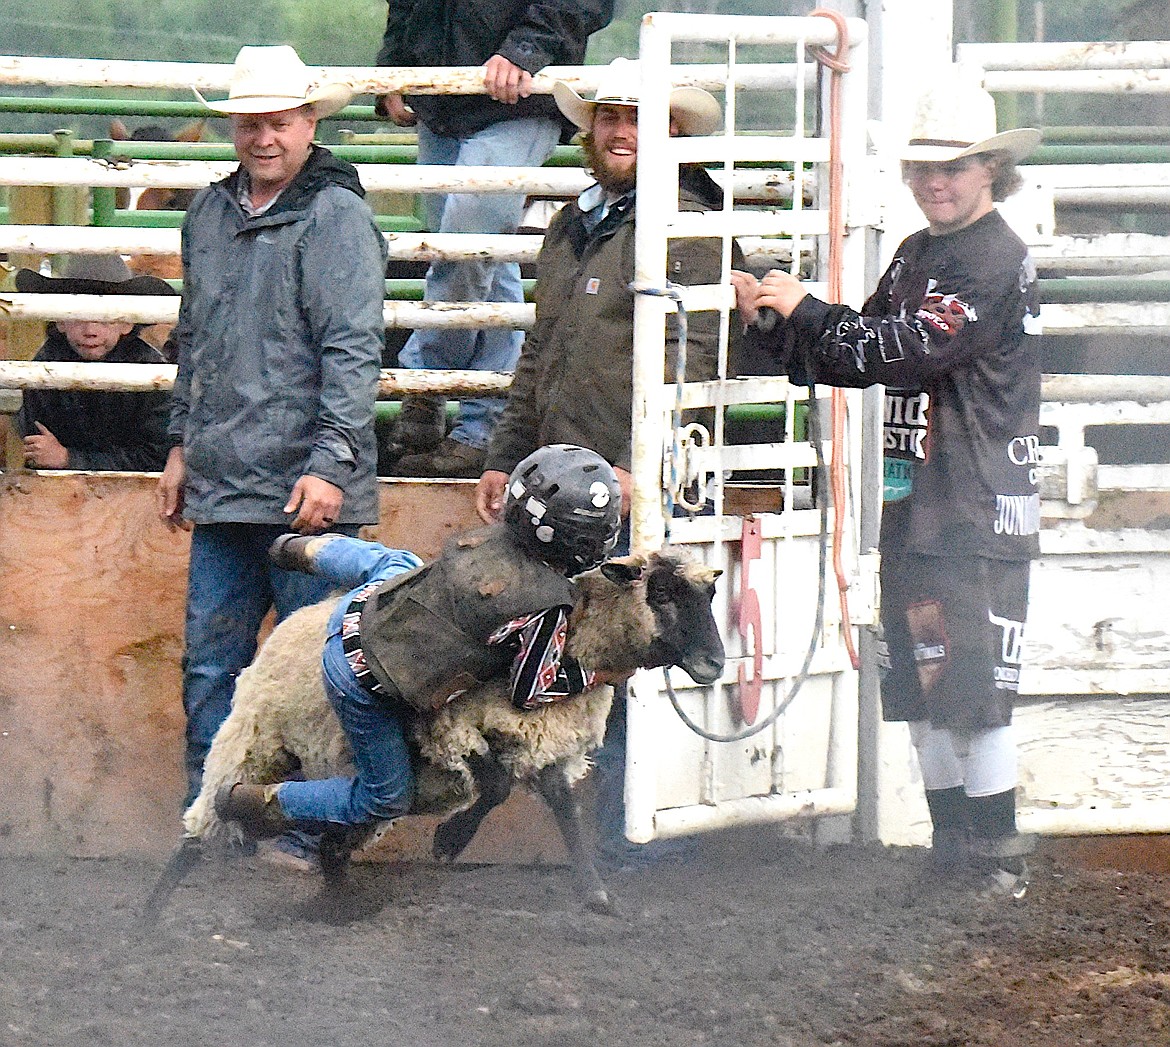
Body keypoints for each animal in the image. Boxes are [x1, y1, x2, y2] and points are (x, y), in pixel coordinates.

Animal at [142, 547, 725, 917]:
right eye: (663, 592)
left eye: (710, 598)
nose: (716, 663)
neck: (577, 646)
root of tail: (307, 617)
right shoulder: (452, 728)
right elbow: (494, 788)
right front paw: (450, 840)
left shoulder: (539, 744)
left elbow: (560, 808)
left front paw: (595, 896)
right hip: (255, 738)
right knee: (205, 820)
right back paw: (147, 920)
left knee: (335, 832)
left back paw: (335, 902)